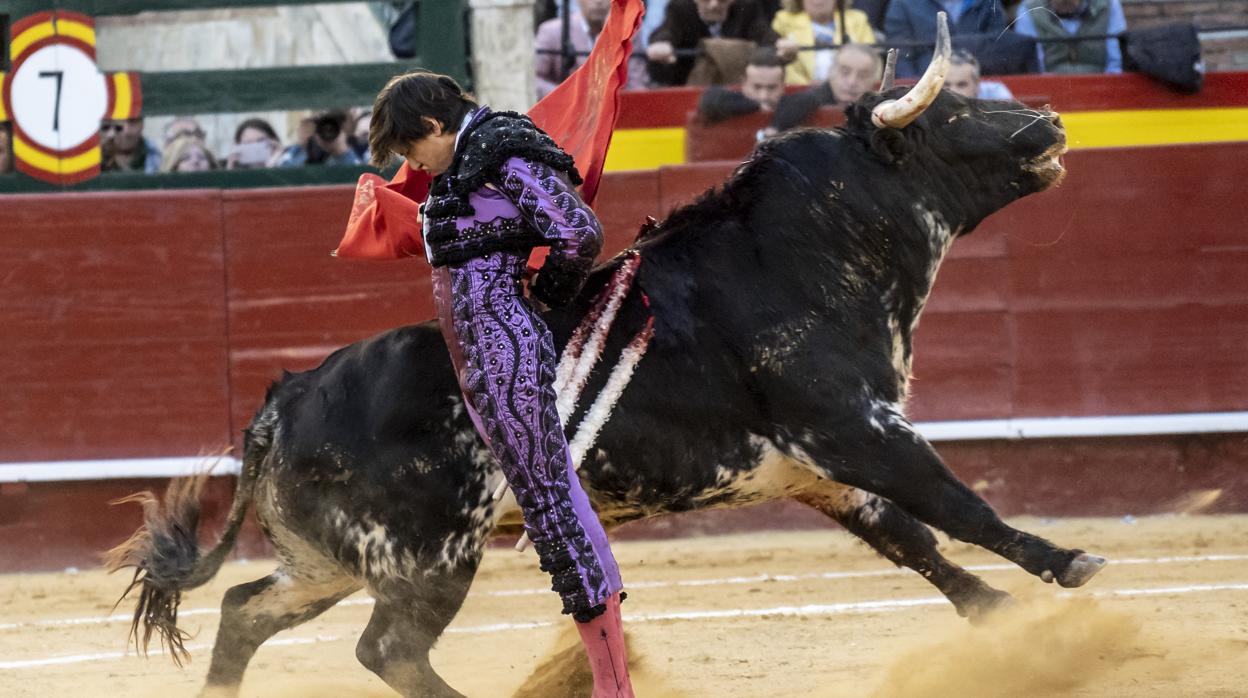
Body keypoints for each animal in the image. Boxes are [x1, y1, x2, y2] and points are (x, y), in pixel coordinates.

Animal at [114, 89, 1103, 694]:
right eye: (954, 114)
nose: (1048, 122)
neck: (794, 256)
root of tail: (281, 401)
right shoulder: (857, 428)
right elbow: (957, 503)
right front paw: (1068, 567)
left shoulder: (815, 468)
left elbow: (914, 540)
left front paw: (1003, 618)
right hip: (428, 557)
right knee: (385, 648)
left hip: (327, 560)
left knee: (246, 612)